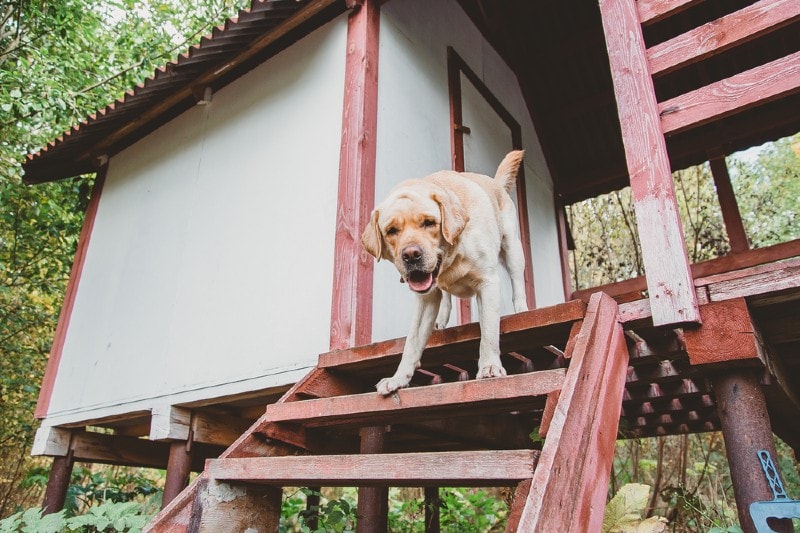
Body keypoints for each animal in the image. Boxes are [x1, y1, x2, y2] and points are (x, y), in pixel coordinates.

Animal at [364, 150, 532, 394]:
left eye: (429, 223)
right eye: (391, 230)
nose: (411, 255)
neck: (452, 256)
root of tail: (494, 183)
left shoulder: (488, 282)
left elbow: (489, 331)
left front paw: (490, 365)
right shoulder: (426, 299)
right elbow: (411, 343)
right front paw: (399, 378)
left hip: (513, 248)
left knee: (518, 282)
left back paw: (521, 310)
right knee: (446, 297)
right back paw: (441, 320)